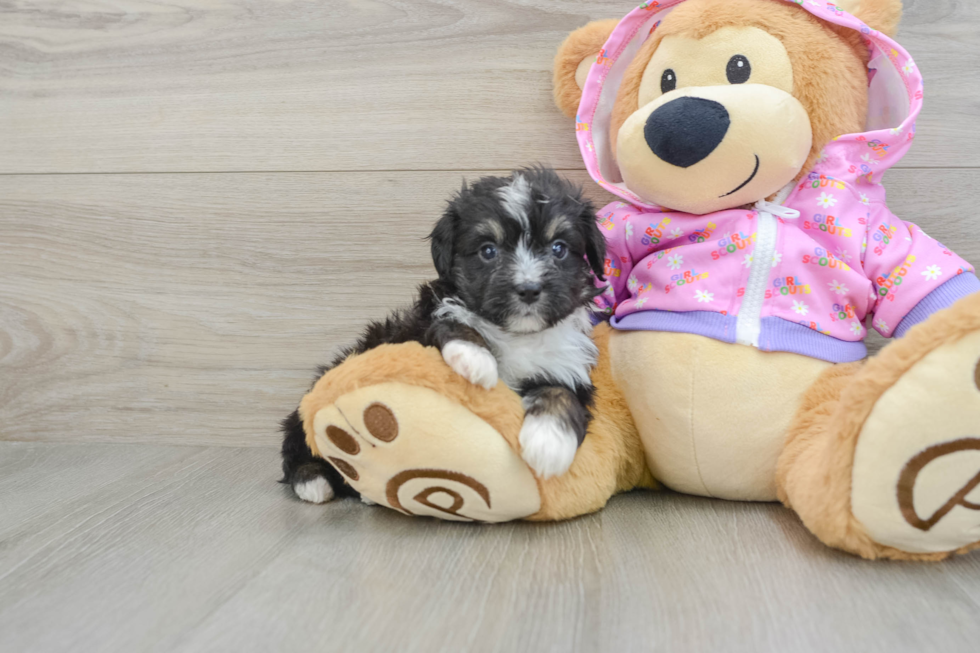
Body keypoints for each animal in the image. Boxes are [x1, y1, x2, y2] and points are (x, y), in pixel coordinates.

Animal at [282, 166, 604, 502]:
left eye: (559, 248)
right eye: (488, 250)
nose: (528, 289)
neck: (516, 334)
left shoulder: (569, 367)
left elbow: (562, 394)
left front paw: (548, 444)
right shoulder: (419, 328)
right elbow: (453, 323)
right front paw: (476, 359)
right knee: (298, 445)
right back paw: (313, 481)